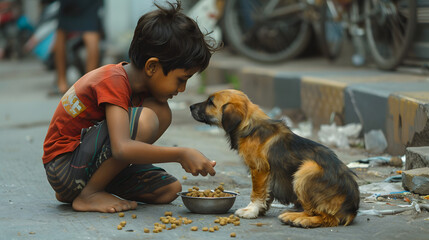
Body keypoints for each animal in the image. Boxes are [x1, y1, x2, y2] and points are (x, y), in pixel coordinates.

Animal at [189, 89, 360, 228]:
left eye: (210, 102)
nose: (190, 107)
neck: (249, 125)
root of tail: (351, 208)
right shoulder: (267, 175)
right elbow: (267, 192)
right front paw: (260, 209)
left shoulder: (259, 169)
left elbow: (257, 193)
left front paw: (251, 210)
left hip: (308, 168)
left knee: (326, 217)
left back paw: (298, 218)